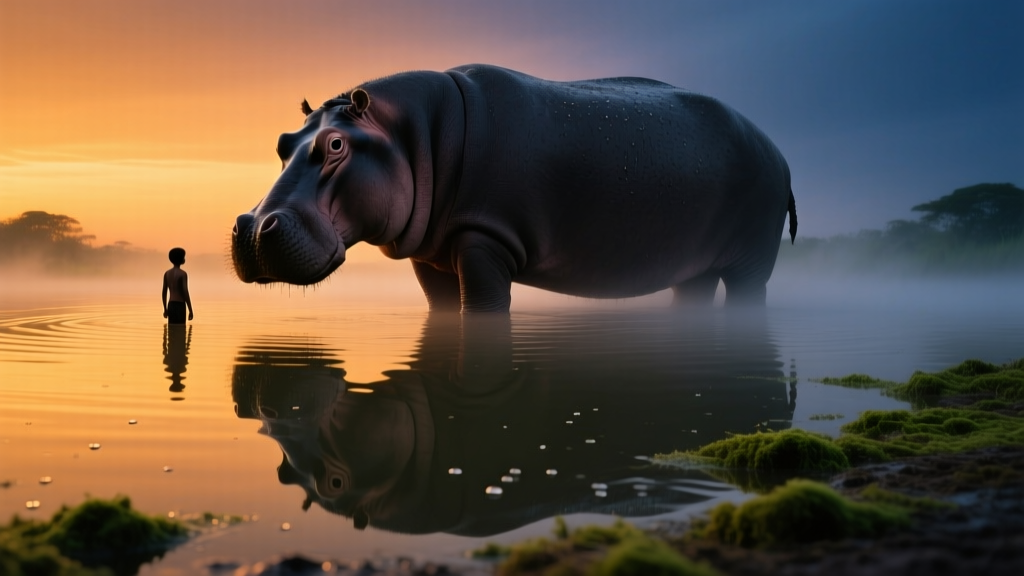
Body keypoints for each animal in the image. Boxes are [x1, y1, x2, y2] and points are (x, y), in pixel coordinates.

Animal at [232, 64, 797, 312]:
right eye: (283, 142)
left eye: (335, 145)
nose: (254, 228)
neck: (414, 135)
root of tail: (778, 152)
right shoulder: (431, 257)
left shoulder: (485, 241)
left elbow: (483, 307)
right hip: (694, 266)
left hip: (751, 260)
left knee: (749, 297)